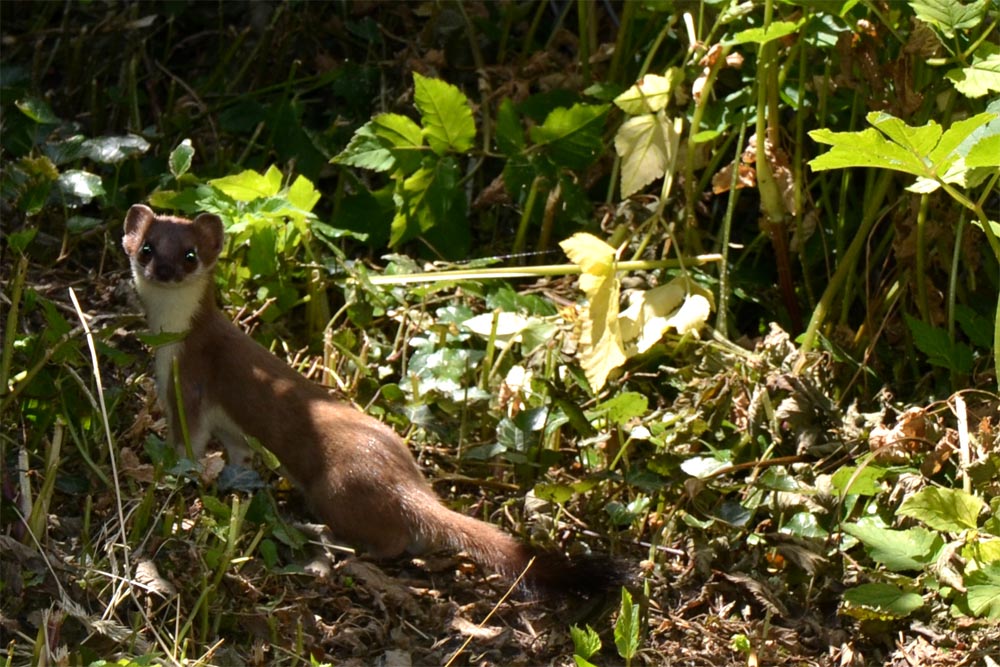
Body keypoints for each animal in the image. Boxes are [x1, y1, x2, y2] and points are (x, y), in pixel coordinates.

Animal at [122, 204, 620, 596]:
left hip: (334, 488)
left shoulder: (187, 385)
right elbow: (240, 452)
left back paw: (342, 545)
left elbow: (186, 444)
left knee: (389, 539)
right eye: (146, 247)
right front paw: (235, 479)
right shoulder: (230, 425)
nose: (163, 270)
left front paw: (174, 475)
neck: (172, 337)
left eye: (190, 254)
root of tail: (409, 485)